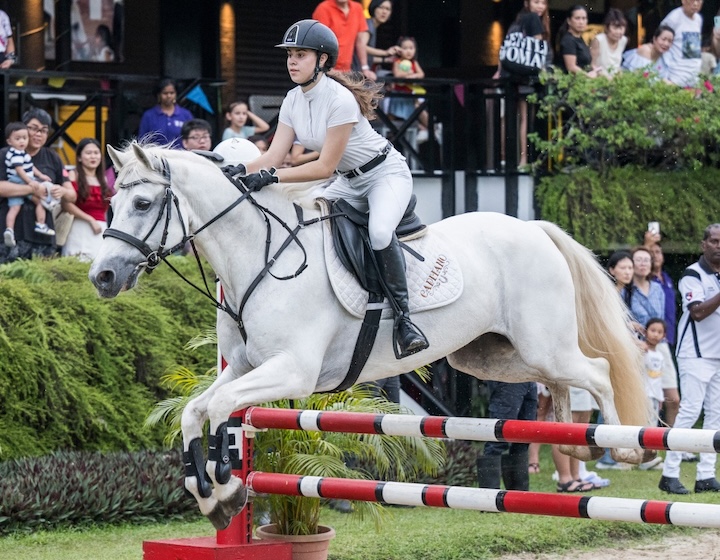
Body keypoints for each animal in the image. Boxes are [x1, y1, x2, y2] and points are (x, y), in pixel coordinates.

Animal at [88, 144, 652, 528]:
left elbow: (221, 406)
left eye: (143, 203)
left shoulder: (291, 370)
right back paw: (575, 443)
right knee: (558, 383)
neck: (261, 256)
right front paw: (213, 496)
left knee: (597, 371)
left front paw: (224, 483)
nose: (103, 277)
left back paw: (627, 449)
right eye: (111, 206)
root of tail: (535, 228)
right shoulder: (247, 368)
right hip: (492, 356)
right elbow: (194, 409)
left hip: (542, 345)